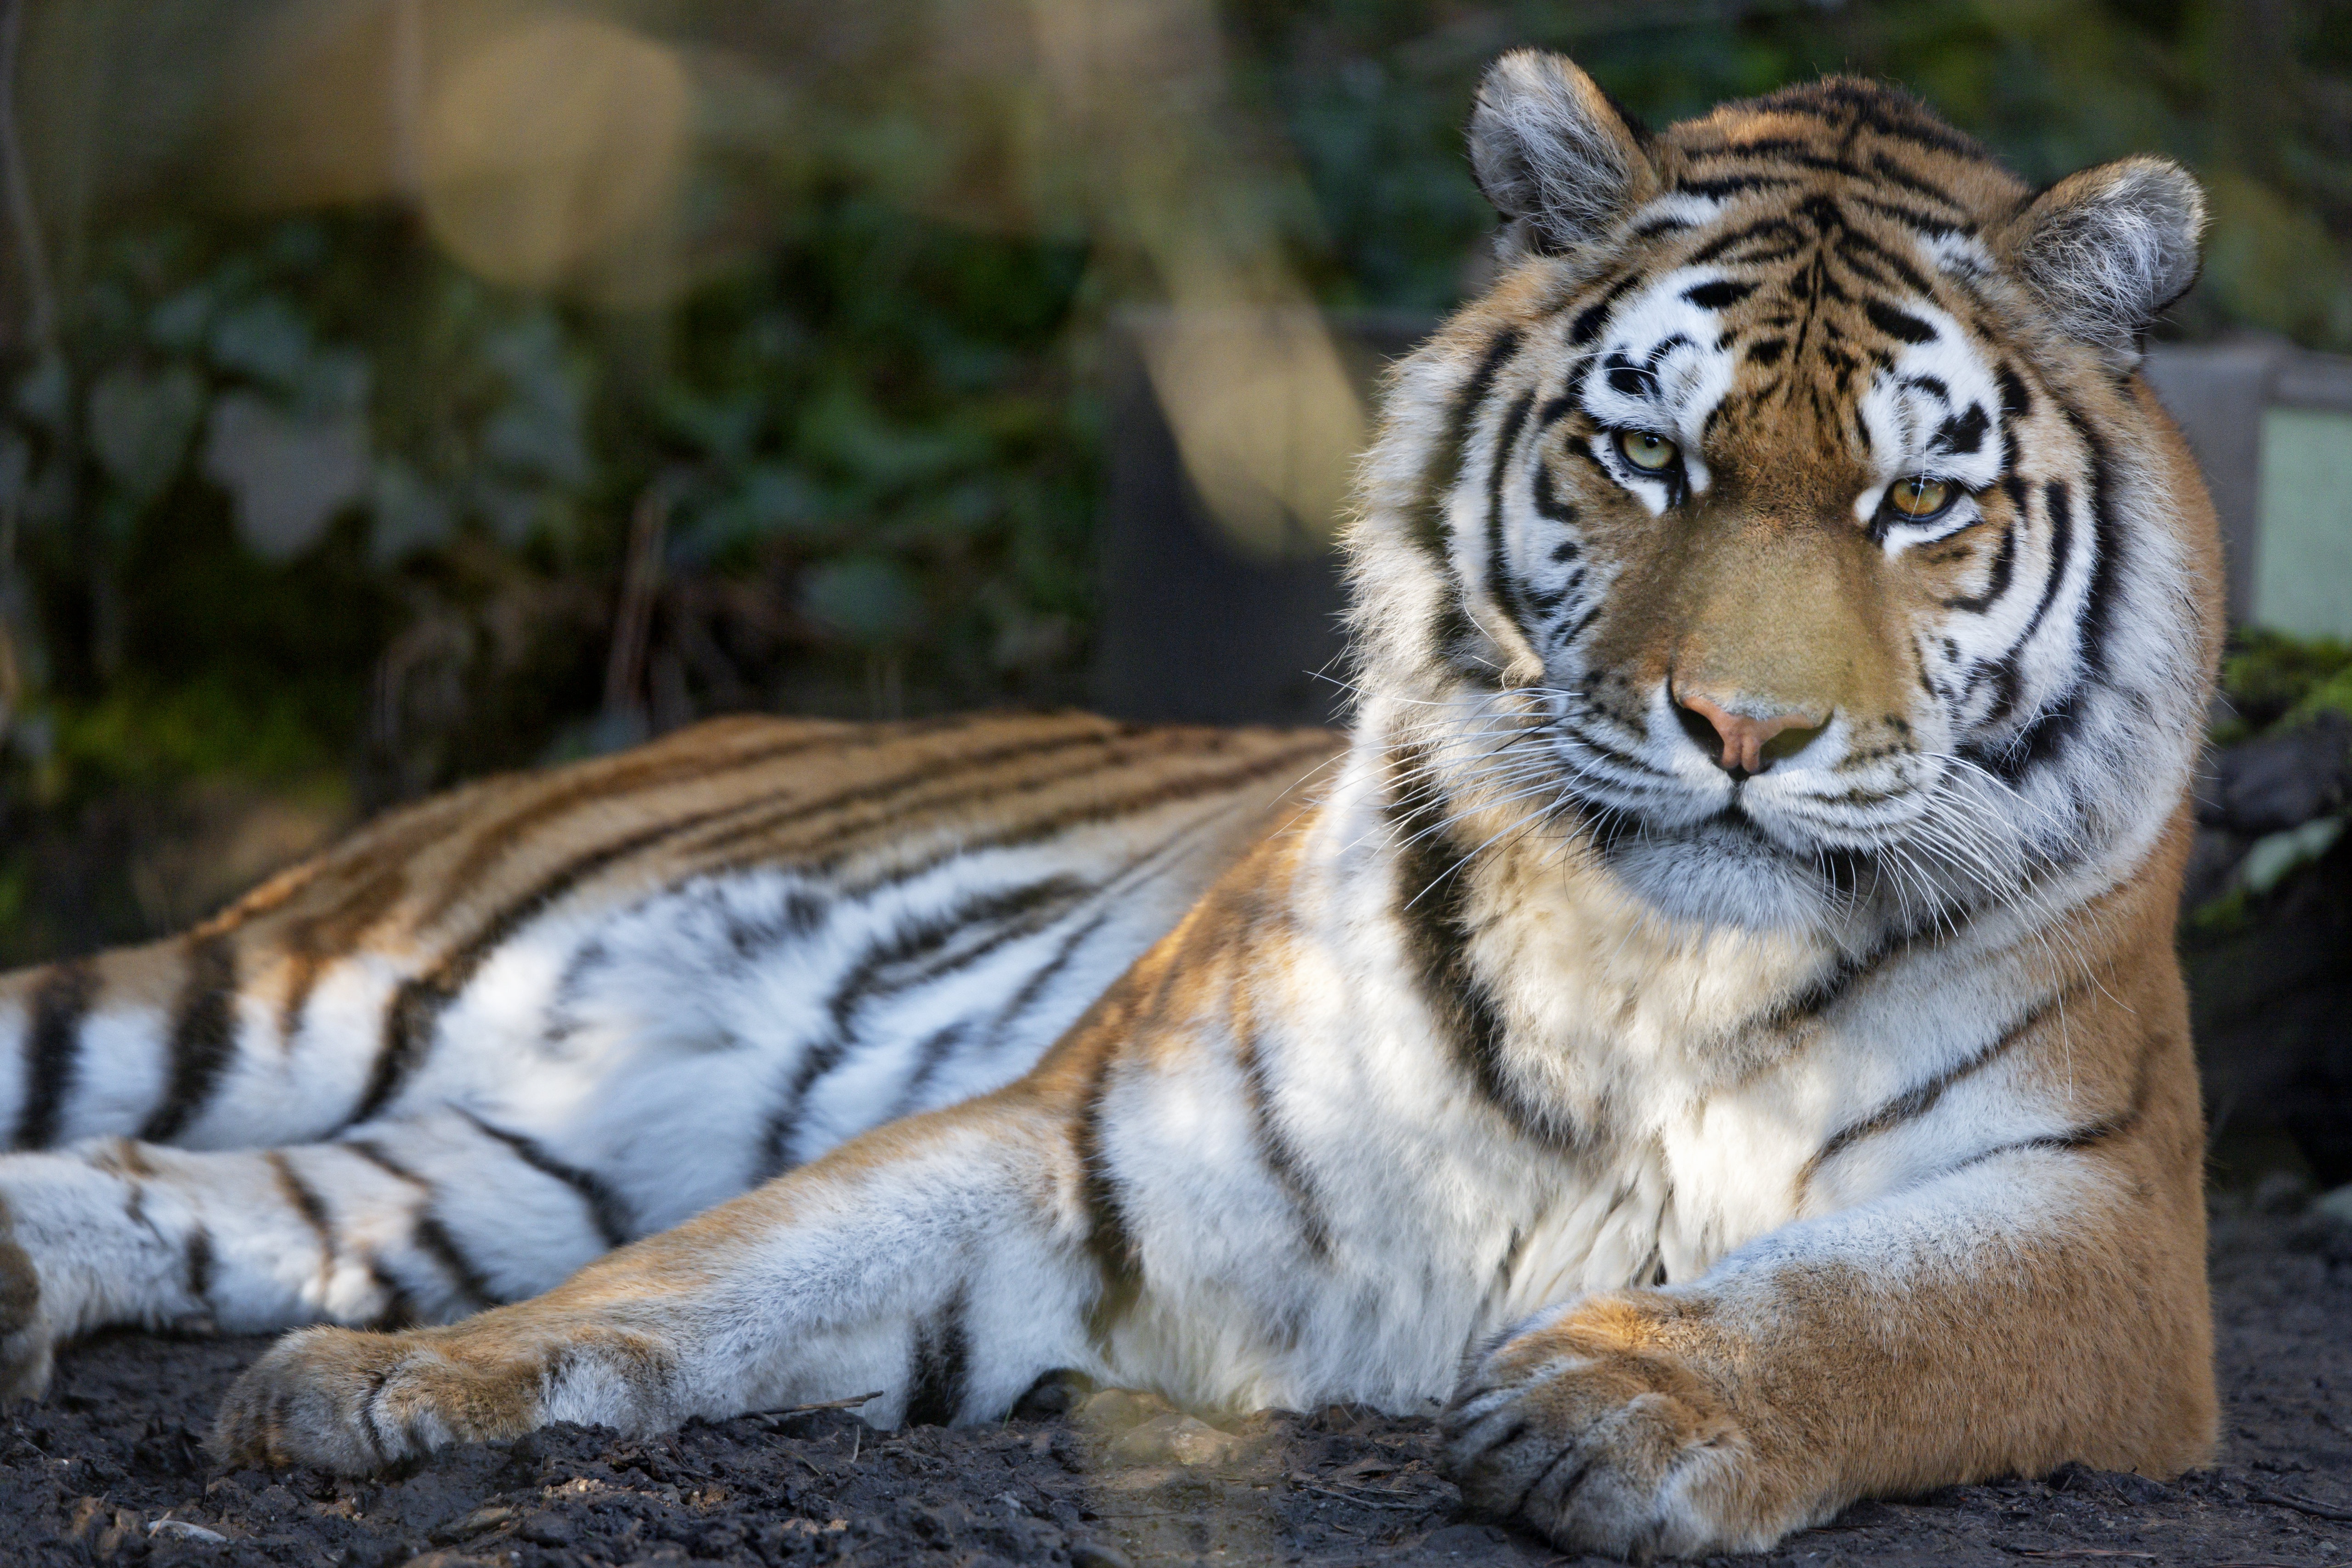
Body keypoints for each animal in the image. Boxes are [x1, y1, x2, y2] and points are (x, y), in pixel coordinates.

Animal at [0, 55, 2220, 1561]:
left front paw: (1615, 1403)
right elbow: (716, 1276)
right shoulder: (1096, 1150)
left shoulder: (2108, 1219)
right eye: (1642, 453)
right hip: (303, 983)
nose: (1737, 728)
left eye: (1913, 498)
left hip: (496, 1150)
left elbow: (1882, 1312)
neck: (1648, 971)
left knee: (208, 1194)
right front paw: (386, 1389)